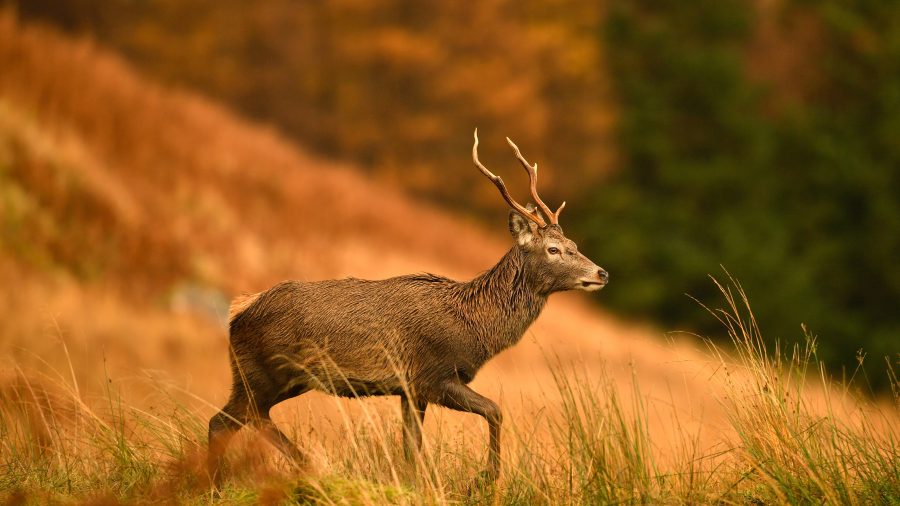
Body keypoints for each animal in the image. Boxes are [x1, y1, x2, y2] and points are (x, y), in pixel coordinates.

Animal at [207, 130, 608, 484]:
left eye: (573, 244)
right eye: (553, 249)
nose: (601, 272)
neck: (474, 325)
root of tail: (238, 312)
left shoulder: (410, 389)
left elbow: (410, 448)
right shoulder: (433, 375)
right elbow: (494, 410)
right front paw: (483, 480)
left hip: (269, 378)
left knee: (226, 422)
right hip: (263, 373)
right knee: (243, 419)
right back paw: (295, 466)